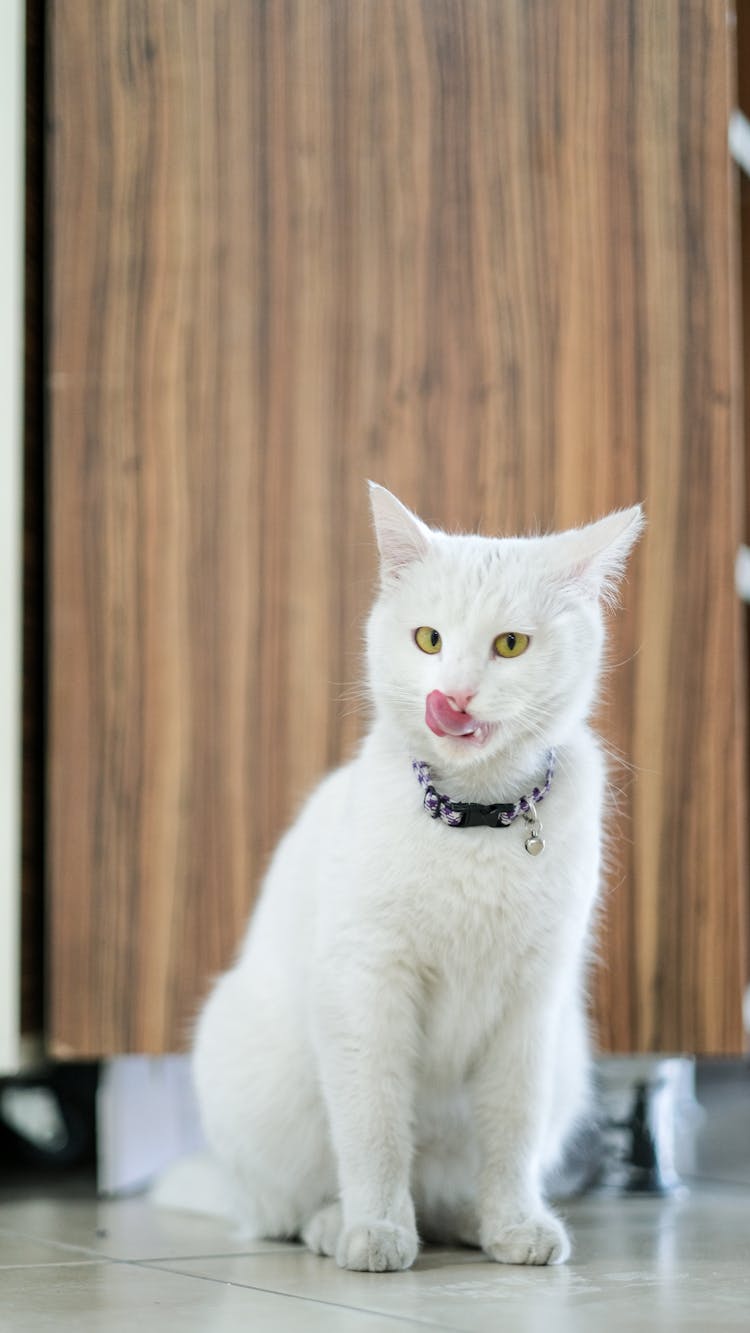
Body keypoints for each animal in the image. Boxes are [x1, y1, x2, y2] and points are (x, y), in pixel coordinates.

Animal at [190, 487, 642, 1269]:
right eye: (428, 639)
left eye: (510, 645)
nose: (453, 697)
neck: (475, 818)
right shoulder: (366, 983)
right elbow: (372, 1124)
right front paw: (376, 1228)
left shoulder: (533, 1003)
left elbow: (512, 1129)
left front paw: (515, 1222)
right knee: (285, 1206)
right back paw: (335, 1224)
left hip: (566, 1057)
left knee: (449, 1185)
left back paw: (470, 1220)